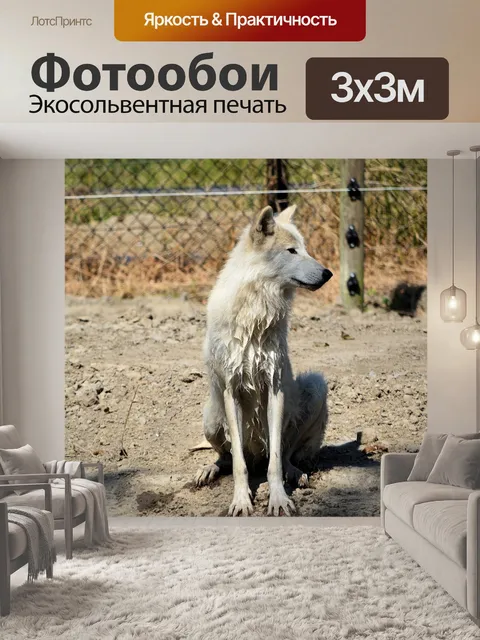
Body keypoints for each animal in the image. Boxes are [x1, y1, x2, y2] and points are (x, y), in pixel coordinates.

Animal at [195, 204, 332, 516]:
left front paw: (279, 498)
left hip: (315, 386)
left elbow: (275, 462)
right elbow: (238, 465)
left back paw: (295, 473)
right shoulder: (231, 390)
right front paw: (241, 501)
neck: (257, 308)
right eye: (292, 251)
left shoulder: (276, 387)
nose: (328, 273)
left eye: (306, 249)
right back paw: (208, 470)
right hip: (211, 415)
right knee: (227, 457)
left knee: (286, 454)